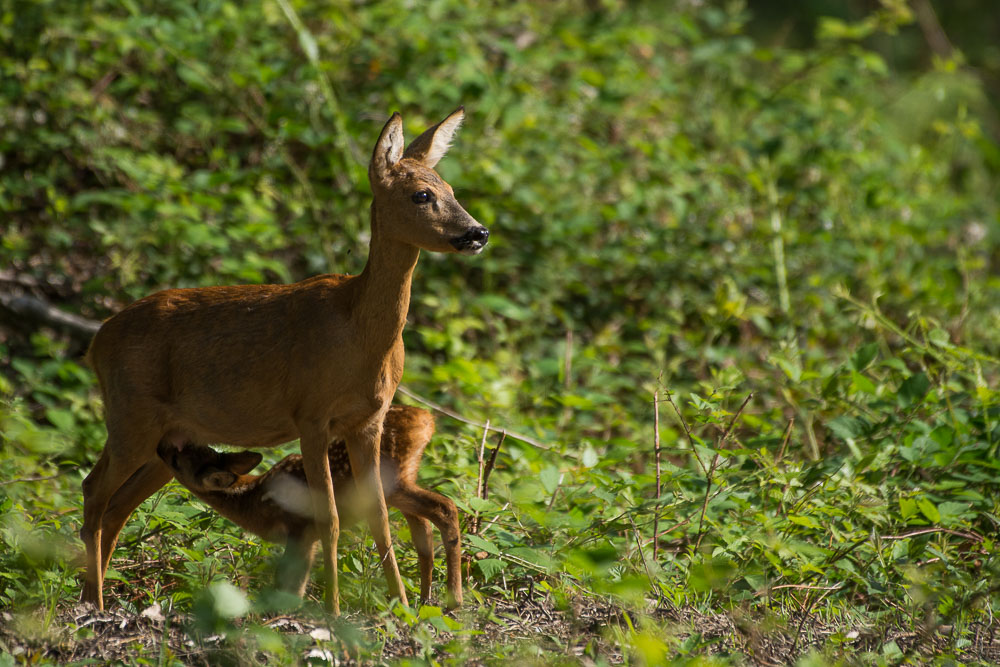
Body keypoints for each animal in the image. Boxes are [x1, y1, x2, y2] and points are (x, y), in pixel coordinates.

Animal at [158, 404, 462, 608]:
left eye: (177, 460)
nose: (160, 447)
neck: (253, 501)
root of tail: (426, 418)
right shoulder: (310, 537)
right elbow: (300, 581)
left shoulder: (298, 529)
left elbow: (287, 580)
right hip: (406, 477)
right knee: (424, 525)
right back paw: (425, 599)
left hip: (392, 481)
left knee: (445, 508)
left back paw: (452, 600)